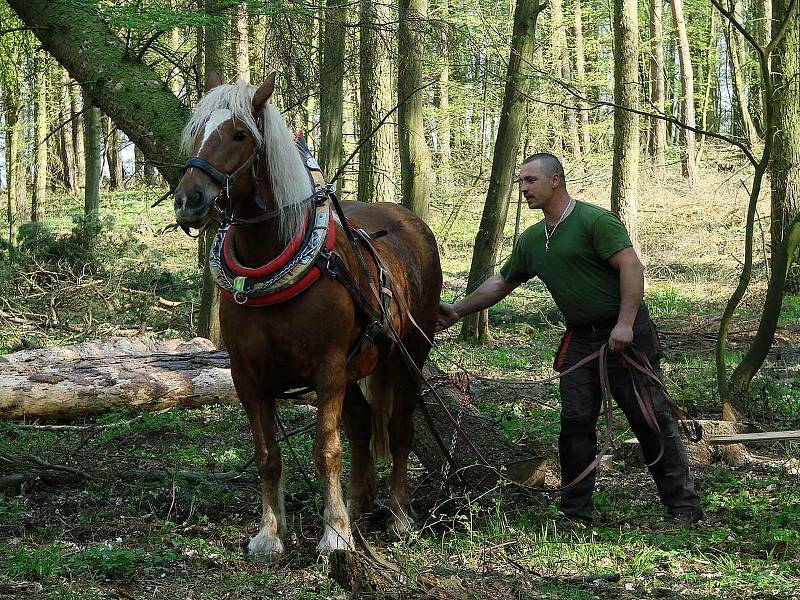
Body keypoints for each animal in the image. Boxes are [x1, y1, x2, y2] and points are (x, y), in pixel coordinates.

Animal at [173, 72, 444, 560]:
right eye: (197, 131)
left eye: (239, 135)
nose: (189, 199)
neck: (273, 258)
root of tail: (409, 220)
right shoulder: (247, 376)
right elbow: (268, 455)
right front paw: (271, 533)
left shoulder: (328, 370)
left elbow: (327, 450)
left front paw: (334, 534)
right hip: (358, 368)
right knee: (361, 427)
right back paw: (357, 507)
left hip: (408, 355)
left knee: (398, 428)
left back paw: (397, 514)